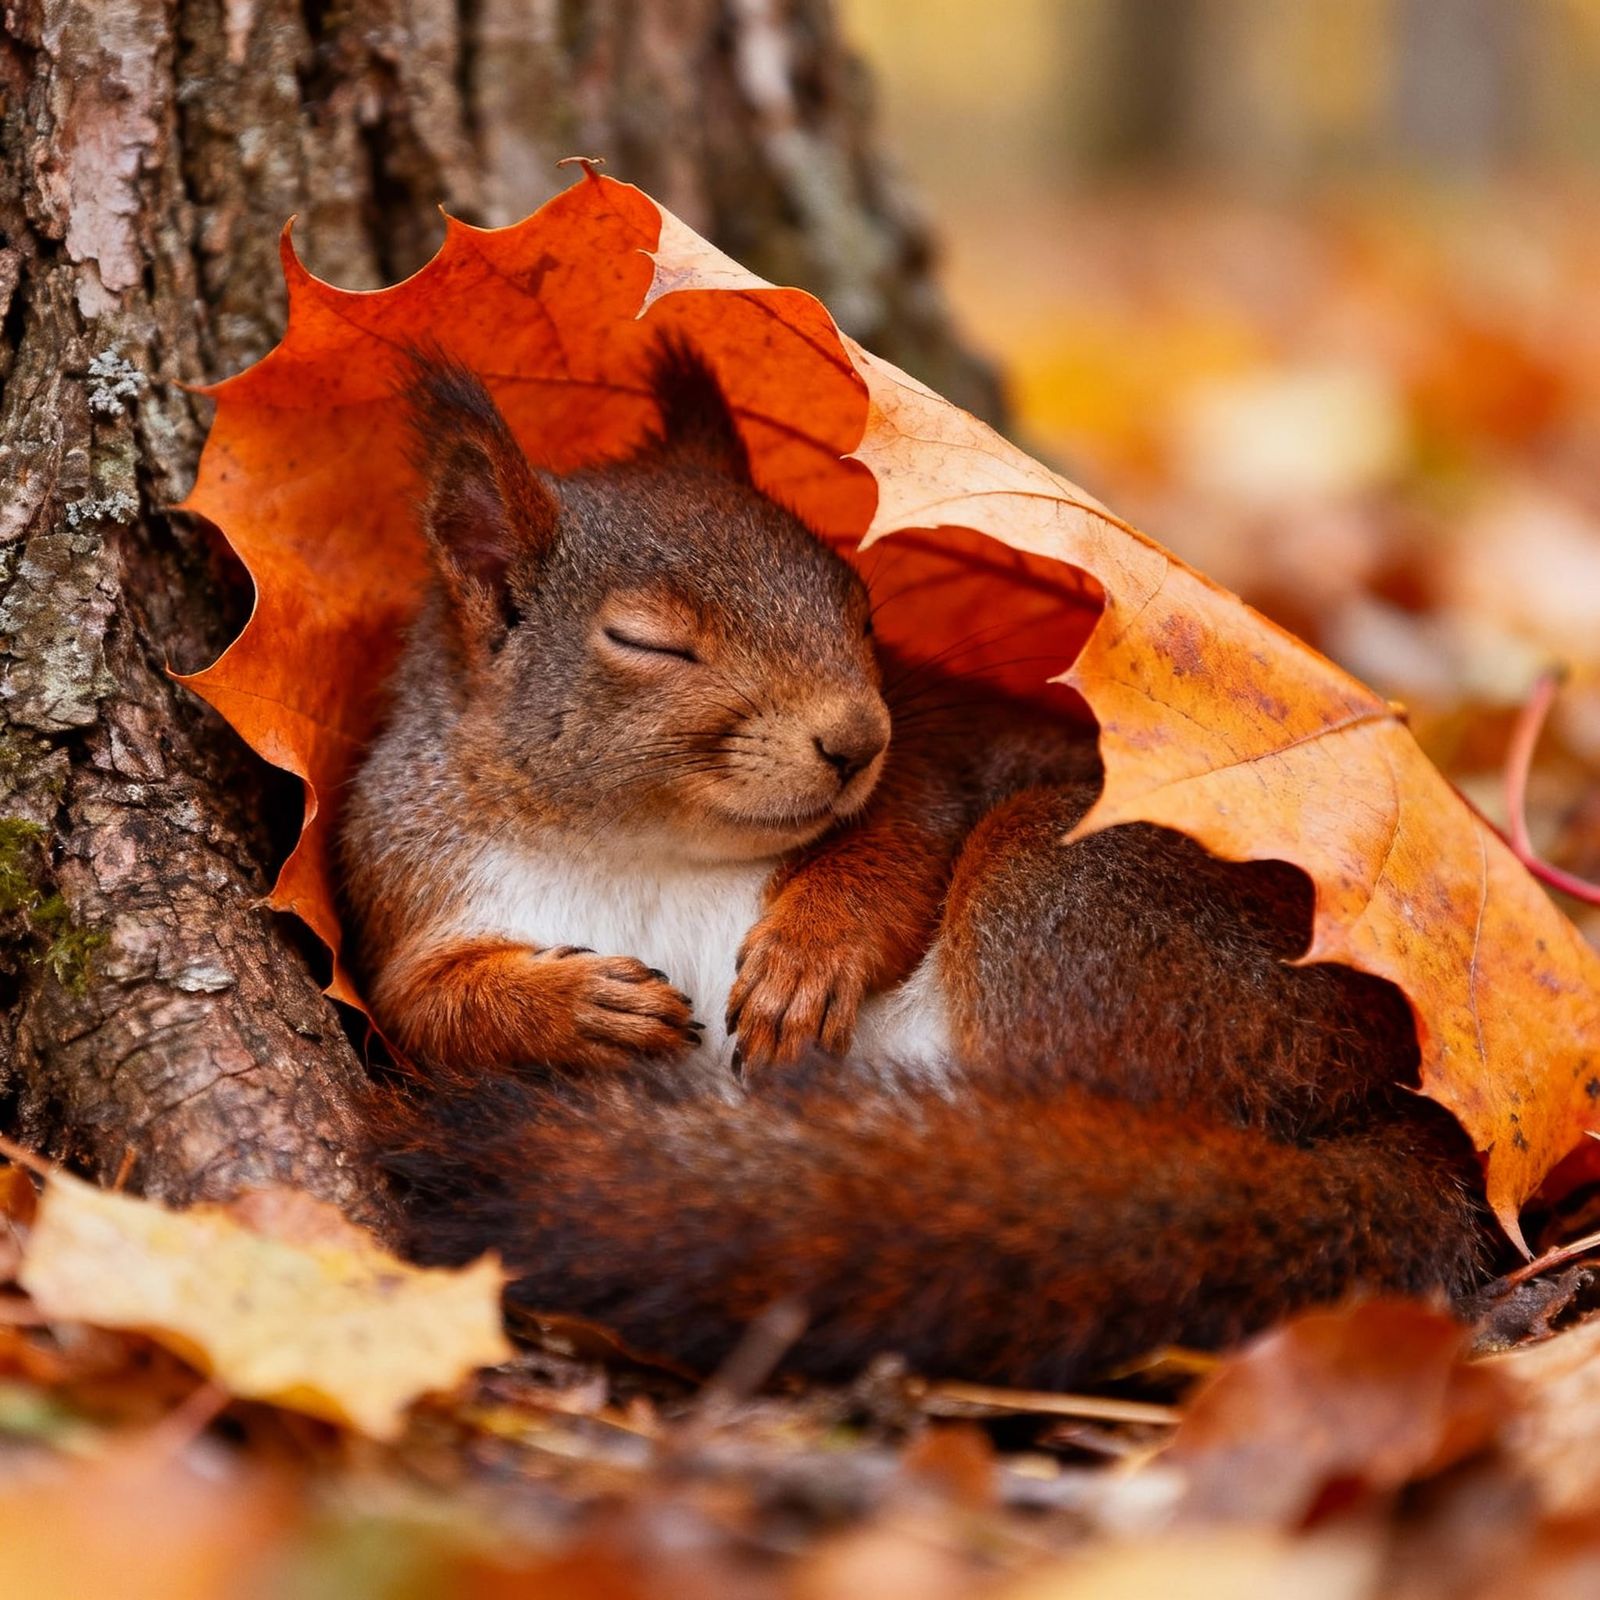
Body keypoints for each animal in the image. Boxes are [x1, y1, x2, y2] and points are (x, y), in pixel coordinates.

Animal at [341, 342, 1496, 1391]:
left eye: (860, 606)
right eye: (647, 643)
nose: (855, 739)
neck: (644, 846)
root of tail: (1384, 1087)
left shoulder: (934, 758)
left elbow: (896, 847)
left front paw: (807, 958)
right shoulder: (410, 878)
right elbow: (421, 1000)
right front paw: (577, 1008)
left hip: (1057, 899)